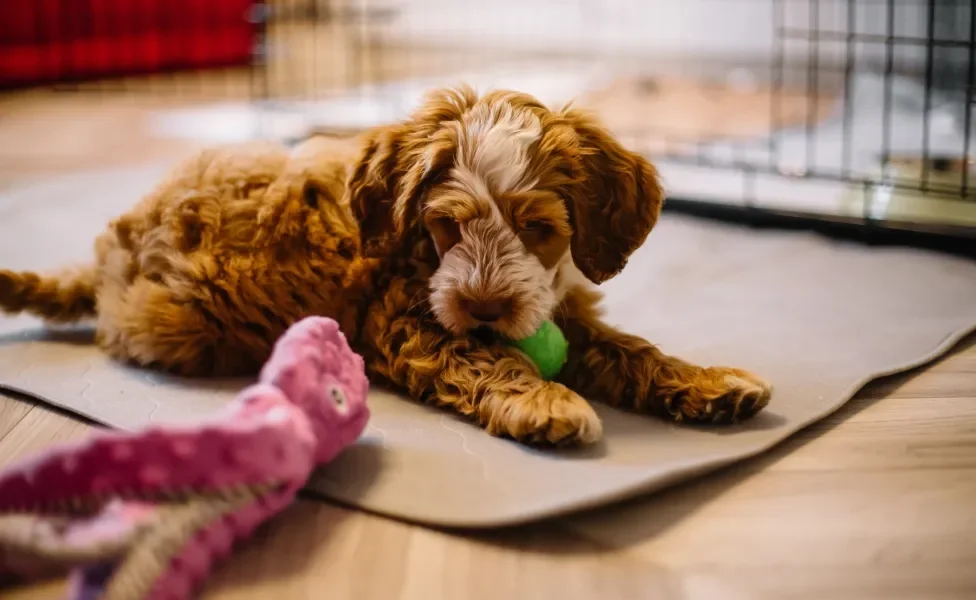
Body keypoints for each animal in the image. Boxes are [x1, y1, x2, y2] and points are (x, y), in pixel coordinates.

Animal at [1, 88, 776, 446]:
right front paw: (544, 401)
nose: (485, 310)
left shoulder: (557, 305)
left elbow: (628, 349)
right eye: (446, 224)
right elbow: (484, 358)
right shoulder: (413, 320)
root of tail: (106, 256)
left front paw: (711, 383)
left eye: (538, 229)